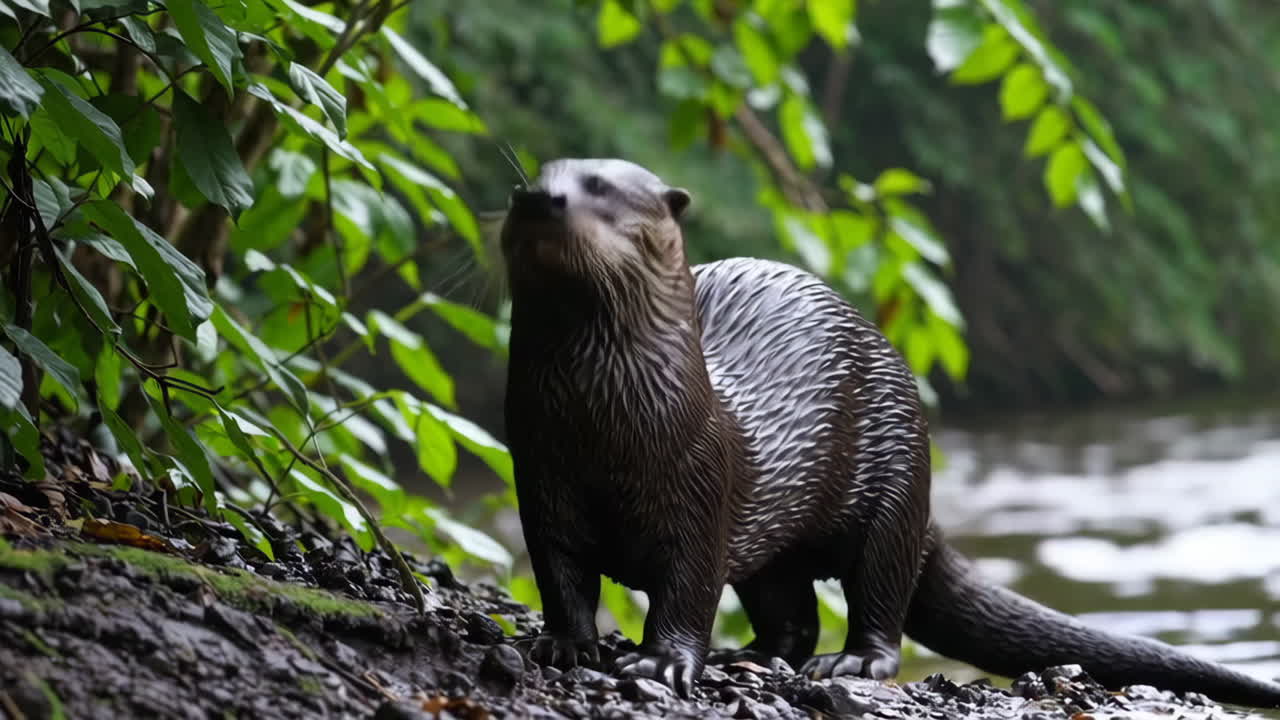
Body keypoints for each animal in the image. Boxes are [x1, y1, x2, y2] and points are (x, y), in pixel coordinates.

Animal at [498, 158, 1280, 707]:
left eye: (601, 187)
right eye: (527, 181)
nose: (540, 199)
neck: (606, 435)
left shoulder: (702, 485)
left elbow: (687, 586)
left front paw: (663, 660)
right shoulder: (541, 481)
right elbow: (560, 576)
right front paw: (565, 646)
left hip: (895, 483)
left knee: (879, 597)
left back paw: (846, 661)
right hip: (785, 547)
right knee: (791, 610)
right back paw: (746, 654)